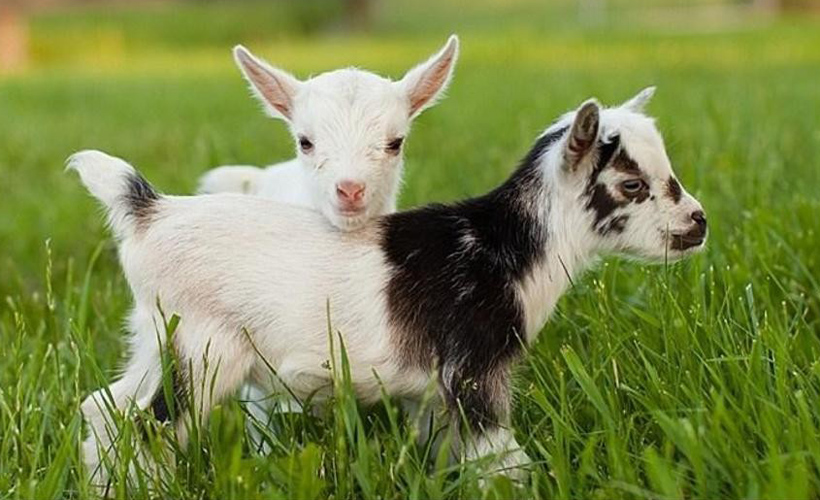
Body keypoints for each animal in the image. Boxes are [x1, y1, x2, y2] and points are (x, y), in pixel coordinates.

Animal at [72, 87, 706, 483]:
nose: (698, 223)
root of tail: (150, 211)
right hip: (203, 348)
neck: (504, 245)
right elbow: (501, 457)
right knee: (149, 424)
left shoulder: (434, 393)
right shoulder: (473, 372)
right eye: (632, 185)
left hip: (157, 338)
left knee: (106, 411)